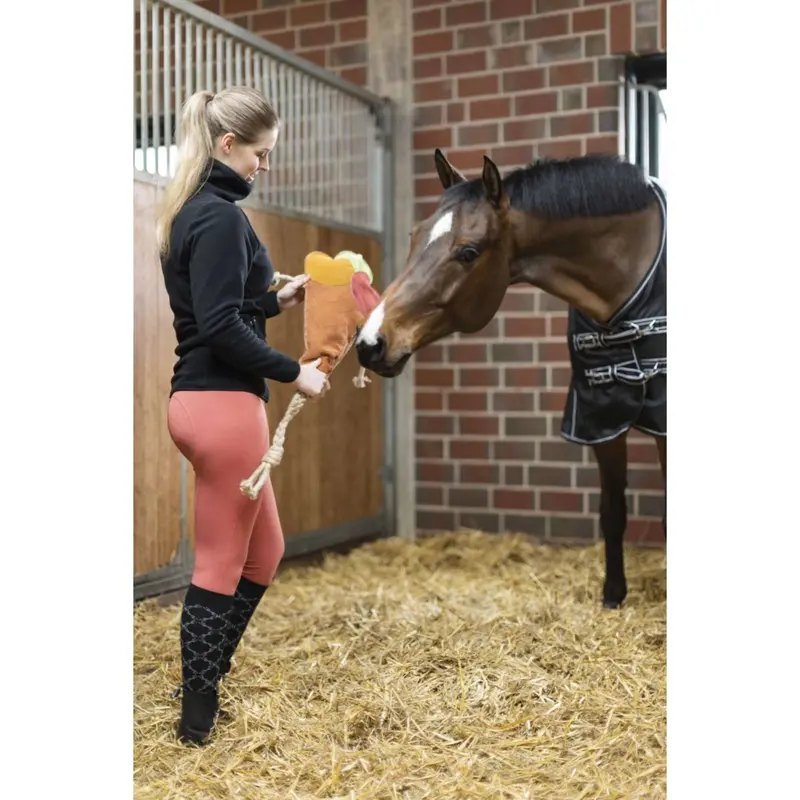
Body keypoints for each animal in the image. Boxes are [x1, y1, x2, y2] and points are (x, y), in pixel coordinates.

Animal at [354, 149, 666, 609]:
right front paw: (613, 596)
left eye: (468, 252)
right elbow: (612, 512)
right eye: (414, 236)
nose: (370, 342)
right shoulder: (599, 413)